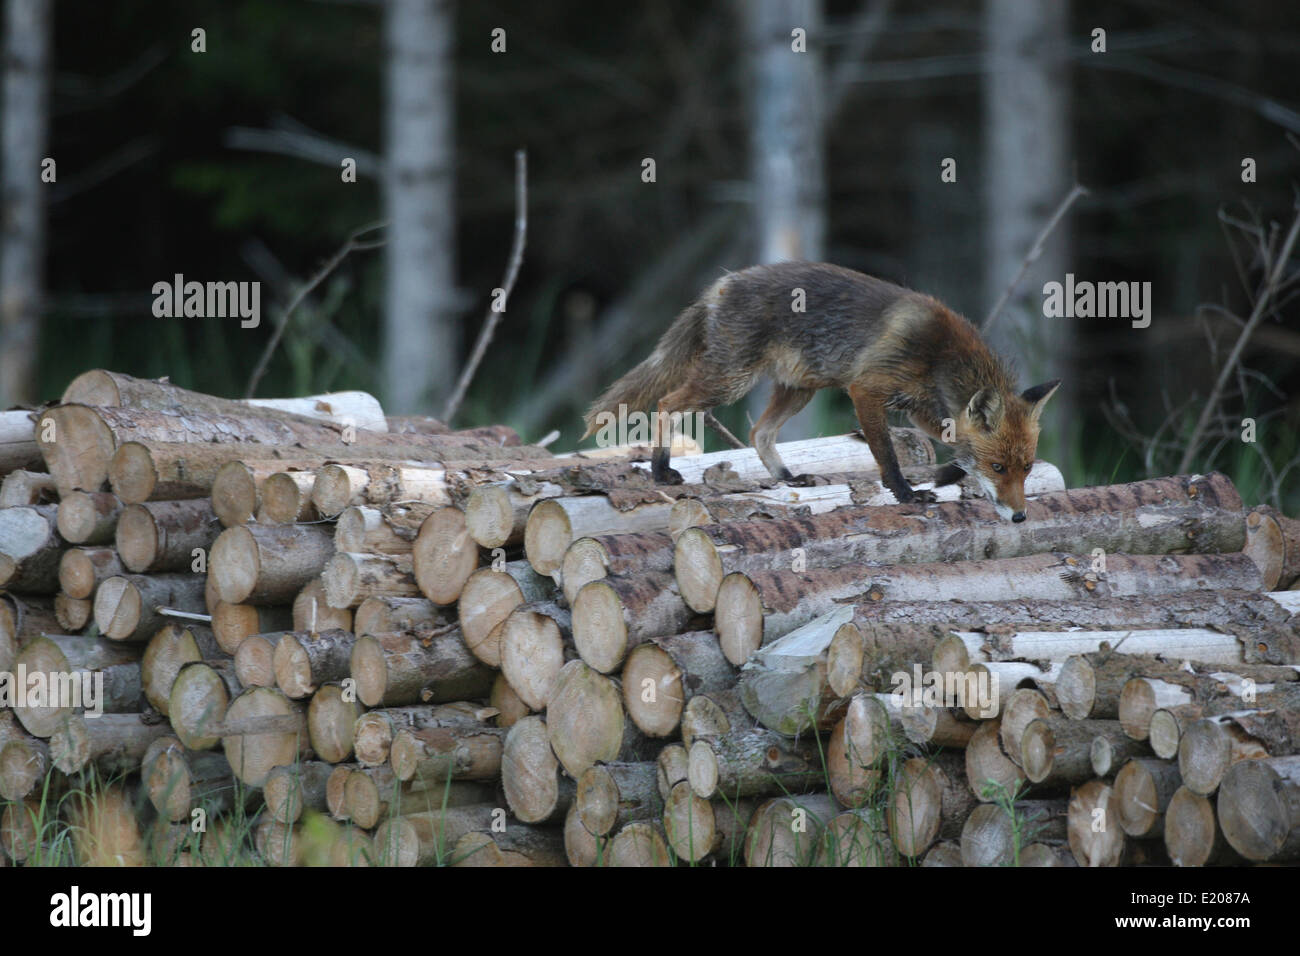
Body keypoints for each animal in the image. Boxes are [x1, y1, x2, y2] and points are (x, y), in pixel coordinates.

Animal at [585, 261, 1060, 522]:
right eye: (998, 468)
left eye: (1027, 468)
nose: (1019, 516)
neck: (939, 354)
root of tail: (723, 283)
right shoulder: (866, 390)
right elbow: (887, 456)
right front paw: (906, 494)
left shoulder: (921, 407)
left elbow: (958, 453)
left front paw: (942, 476)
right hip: (731, 381)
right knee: (667, 402)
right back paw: (660, 469)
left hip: (799, 389)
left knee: (758, 432)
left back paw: (786, 477)